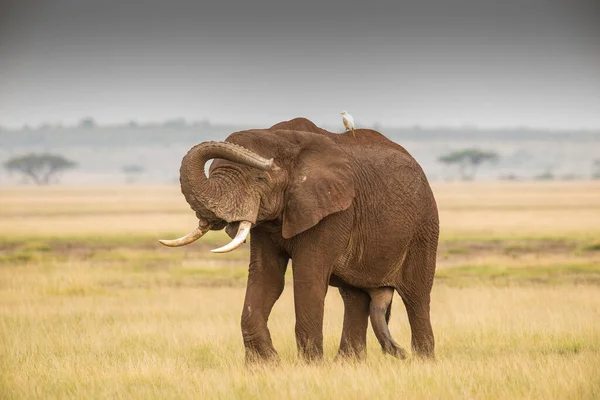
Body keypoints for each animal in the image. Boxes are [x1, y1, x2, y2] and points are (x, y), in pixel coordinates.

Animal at [161, 117, 440, 360]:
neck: (282, 137)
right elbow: (266, 276)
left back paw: (421, 361)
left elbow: (309, 277)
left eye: (260, 178)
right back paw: (349, 363)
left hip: (425, 226)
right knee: (354, 297)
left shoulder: (333, 210)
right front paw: (265, 364)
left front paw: (310, 365)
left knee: (416, 296)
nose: (267, 162)